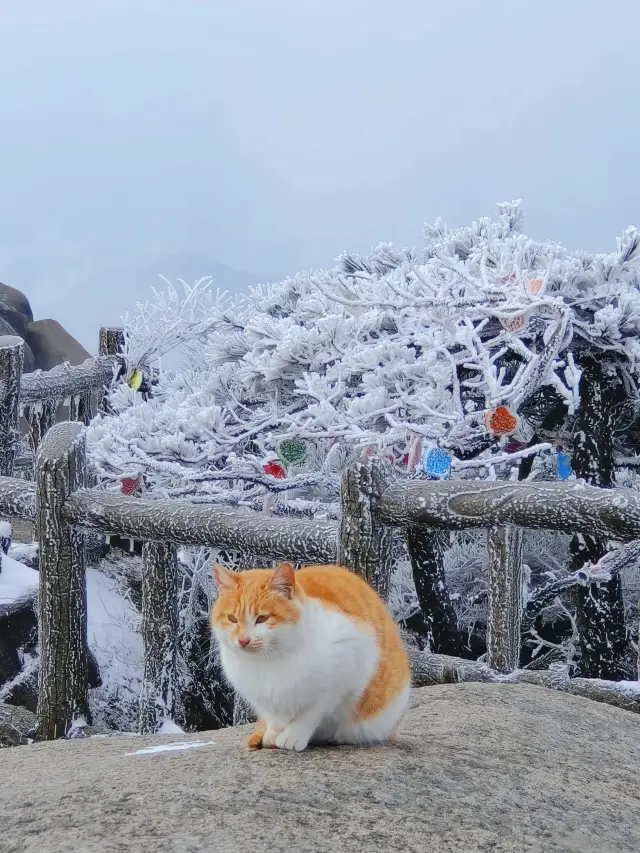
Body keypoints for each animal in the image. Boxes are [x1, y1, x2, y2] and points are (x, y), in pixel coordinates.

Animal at [210, 564, 410, 748]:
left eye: (262, 618)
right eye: (232, 618)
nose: (243, 640)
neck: (268, 662)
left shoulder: (340, 680)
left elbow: (310, 713)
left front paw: (293, 735)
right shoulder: (260, 698)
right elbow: (273, 718)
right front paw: (273, 733)